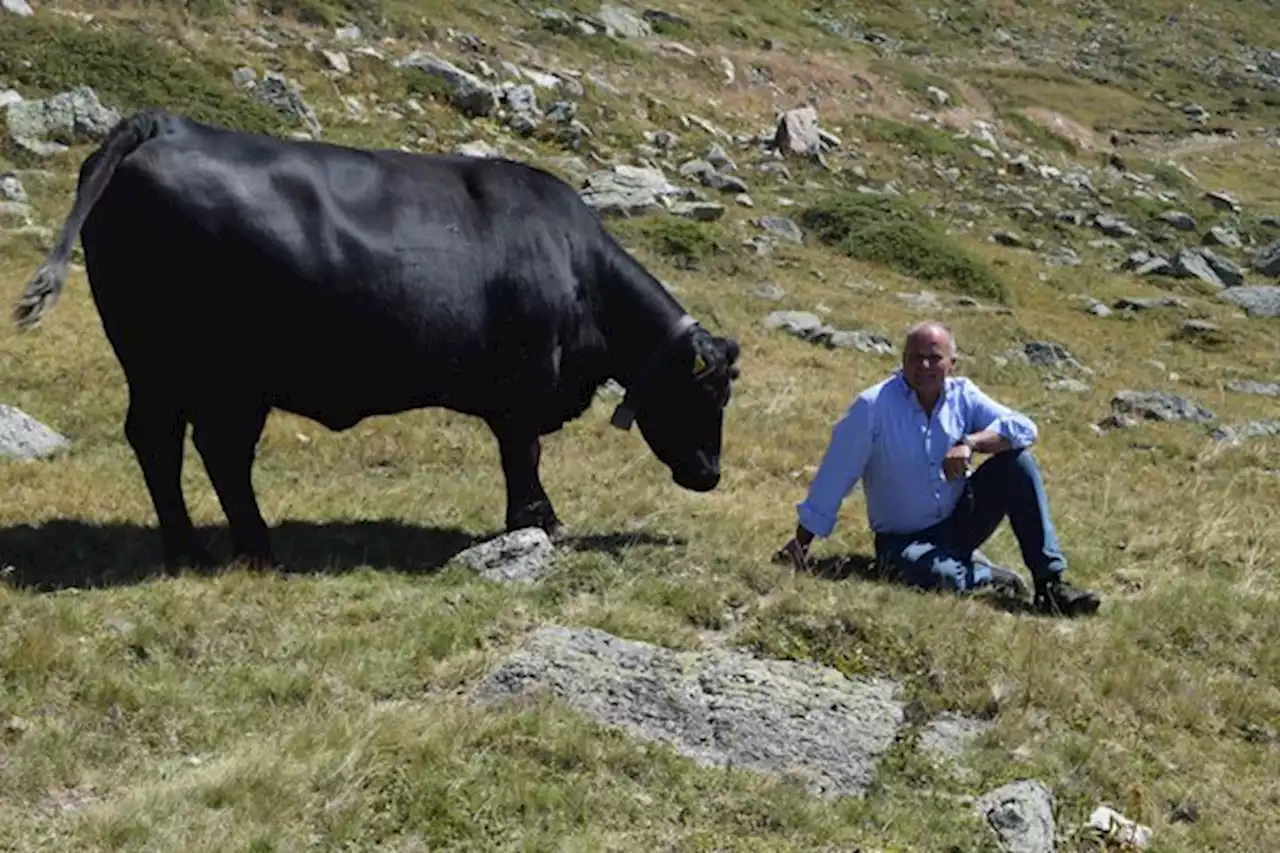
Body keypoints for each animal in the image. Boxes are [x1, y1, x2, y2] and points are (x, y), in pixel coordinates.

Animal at [15, 108, 742, 571]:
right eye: (708, 396)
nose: (710, 474)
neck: (578, 269)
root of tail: (160, 124)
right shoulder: (521, 390)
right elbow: (523, 457)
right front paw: (538, 521)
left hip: (165, 369)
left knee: (165, 443)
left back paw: (195, 548)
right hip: (214, 374)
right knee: (207, 450)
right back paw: (246, 549)